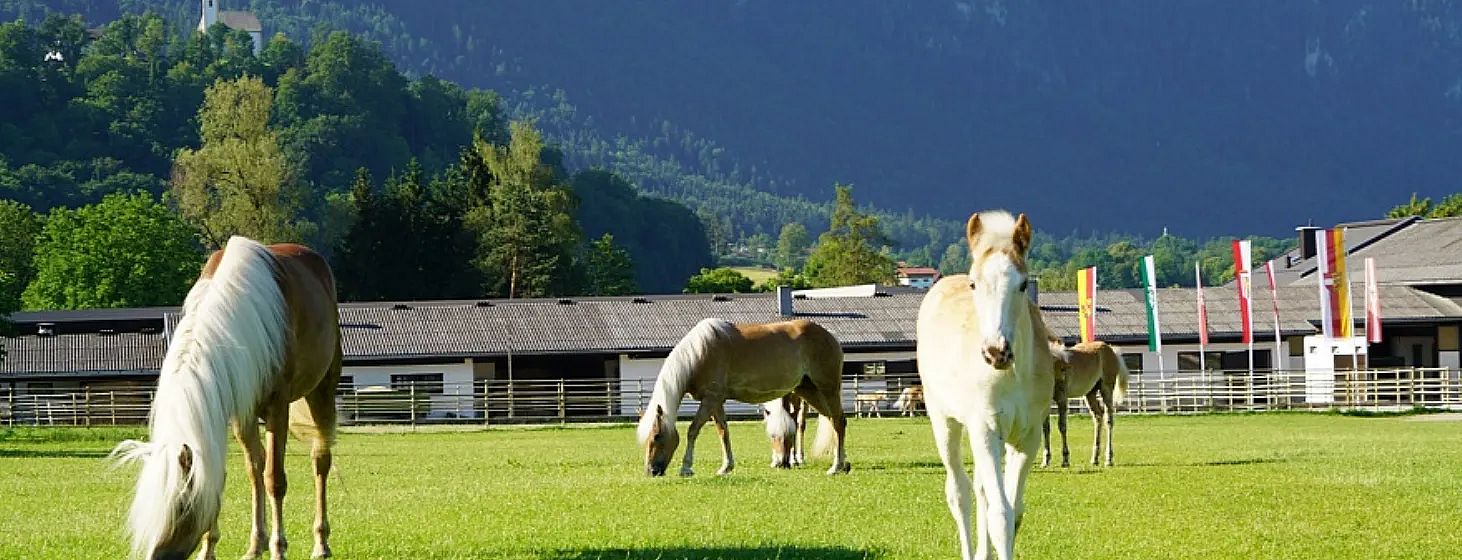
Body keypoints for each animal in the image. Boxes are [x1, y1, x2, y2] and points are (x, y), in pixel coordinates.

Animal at [112, 236, 342, 560]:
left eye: (182, 506)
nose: (159, 557)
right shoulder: (236, 412)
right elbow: (228, 476)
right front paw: (211, 549)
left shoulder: (277, 406)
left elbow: (275, 479)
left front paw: (279, 548)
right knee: (256, 468)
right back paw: (256, 545)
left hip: (322, 390)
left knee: (320, 460)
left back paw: (320, 543)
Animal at [637, 318, 850, 476]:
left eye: (656, 436)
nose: (650, 471)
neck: (699, 354)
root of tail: (830, 336)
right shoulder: (716, 402)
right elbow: (723, 431)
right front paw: (726, 467)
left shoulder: (710, 400)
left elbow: (693, 430)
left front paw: (686, 468)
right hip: (808, 391)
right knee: (832, 420)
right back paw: (843, 464)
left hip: (828, 389)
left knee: (838, 421)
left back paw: (835, 467)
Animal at [916, 211, 1054, 560]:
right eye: (974, 283)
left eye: (1023, 284)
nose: (995, 351)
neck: (1011, 375)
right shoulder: (986, 429)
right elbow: (1000, 515)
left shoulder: (1027, 437)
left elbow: (1013, 512)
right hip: (945, 422)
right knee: (960, 492)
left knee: (980, 489)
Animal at [1042, 340, 1130, 468]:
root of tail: (1111, 350)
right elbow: (1046, 429)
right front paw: (1046, 460)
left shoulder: (1062, 399)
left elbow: (1062, 426)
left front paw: (1065, 459)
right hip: (1090, 393)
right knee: (1098, 417)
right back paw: (1095, 459)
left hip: (1106, 389)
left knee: (1109, 420)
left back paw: (1108, 459)